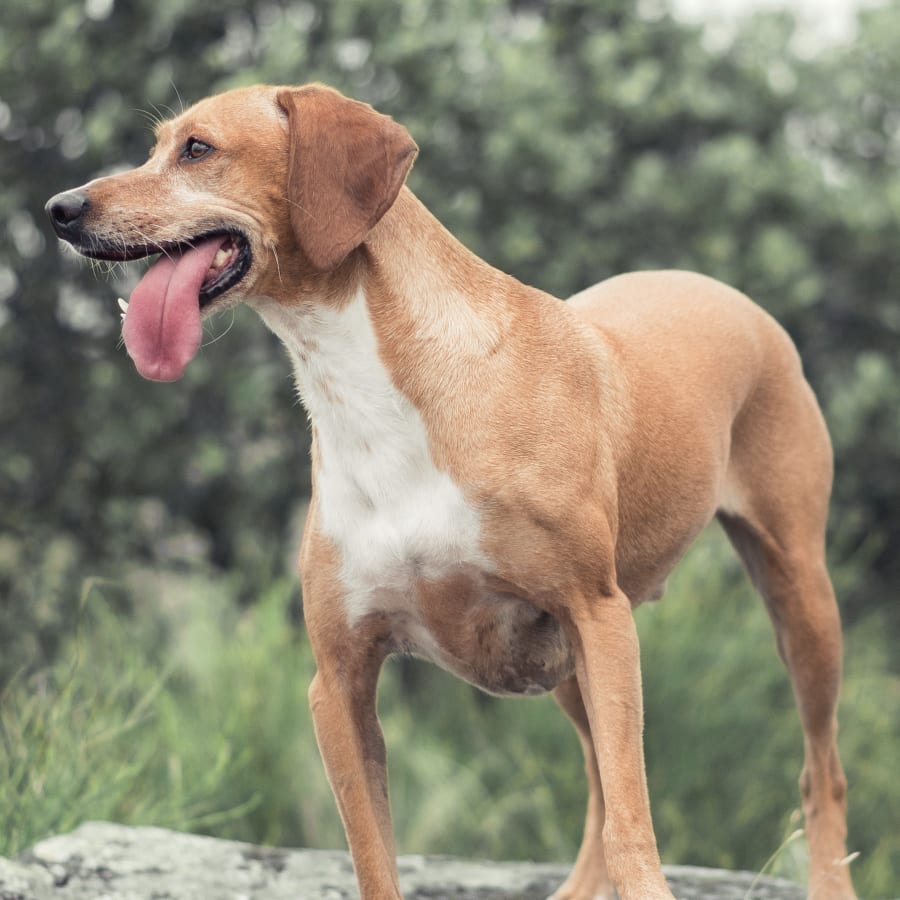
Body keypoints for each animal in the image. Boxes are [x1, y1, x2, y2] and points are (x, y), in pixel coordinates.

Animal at [44, 82, 856, 892]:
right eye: (156, 144)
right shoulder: (340, 680)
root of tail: (722, 291)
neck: (370, 394)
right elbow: (374, 859)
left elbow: (634, 825)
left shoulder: (598, 615)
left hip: (795, 605)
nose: (59, 208)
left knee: (817, 772)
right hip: (571, 666)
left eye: (198, 149)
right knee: (599, 781)